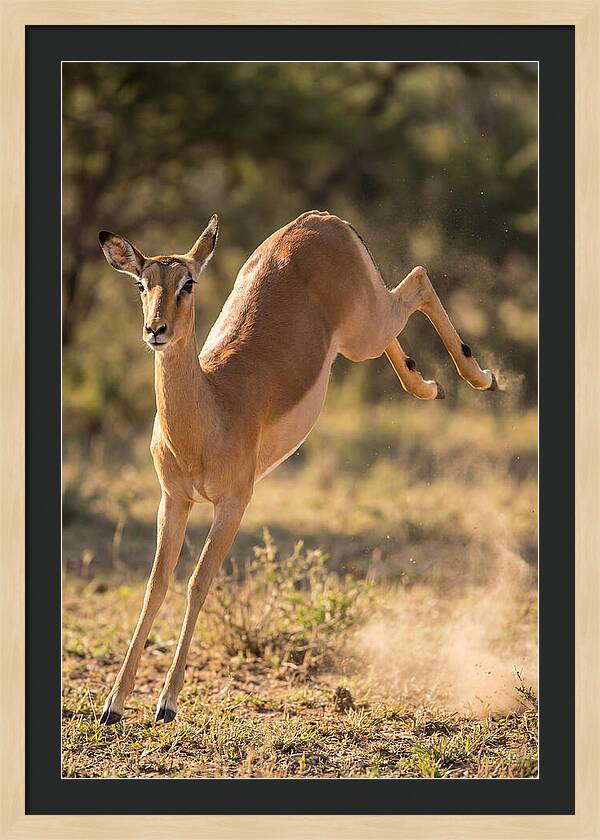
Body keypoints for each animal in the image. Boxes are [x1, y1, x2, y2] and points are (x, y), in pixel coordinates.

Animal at [97, 210, 497, 725]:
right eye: (142, 284)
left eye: (188, 282)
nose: (155, 330)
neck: (210, 409)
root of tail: (321, 219)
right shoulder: (174, 500)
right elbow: (154, 586)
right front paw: (113, 703)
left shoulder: (233, 503)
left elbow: (198, 582)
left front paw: (166, 702)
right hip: (361, 334)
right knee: (405, 310)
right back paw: (429, 385)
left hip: (365, 329)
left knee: (419, 279)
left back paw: (481, 377)